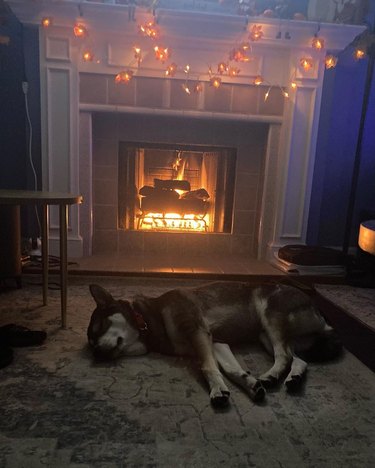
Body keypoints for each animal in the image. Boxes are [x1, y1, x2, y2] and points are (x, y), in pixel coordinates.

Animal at [86, 282, 342, 406]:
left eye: (99, 327)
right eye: (90, 341)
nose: (96, 352)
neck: (148, 319)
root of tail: (320, 314)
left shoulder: (198, 332)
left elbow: (207, 367)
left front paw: (218, 390)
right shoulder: (216, 343)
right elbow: (230, 368)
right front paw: (250, 384)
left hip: (271, 317)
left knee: (285, 356)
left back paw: (271, 376)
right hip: (266, 336)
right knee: (299, 360)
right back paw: (292, 378)